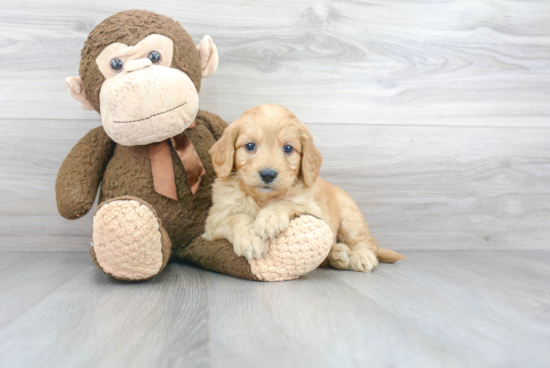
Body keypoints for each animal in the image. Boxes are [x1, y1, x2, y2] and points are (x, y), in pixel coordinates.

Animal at [203, 105, 406, 272]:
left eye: (288, 148)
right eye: (250, 146)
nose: (268, 174)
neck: (262, 199)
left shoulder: (313, 209)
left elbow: (287, 202)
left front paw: (270, 217)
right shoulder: (213, 222)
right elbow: (236, 218)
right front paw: (250, 239)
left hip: (351, 219)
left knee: (366, 241)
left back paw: (361, 256)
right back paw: (339, 254)